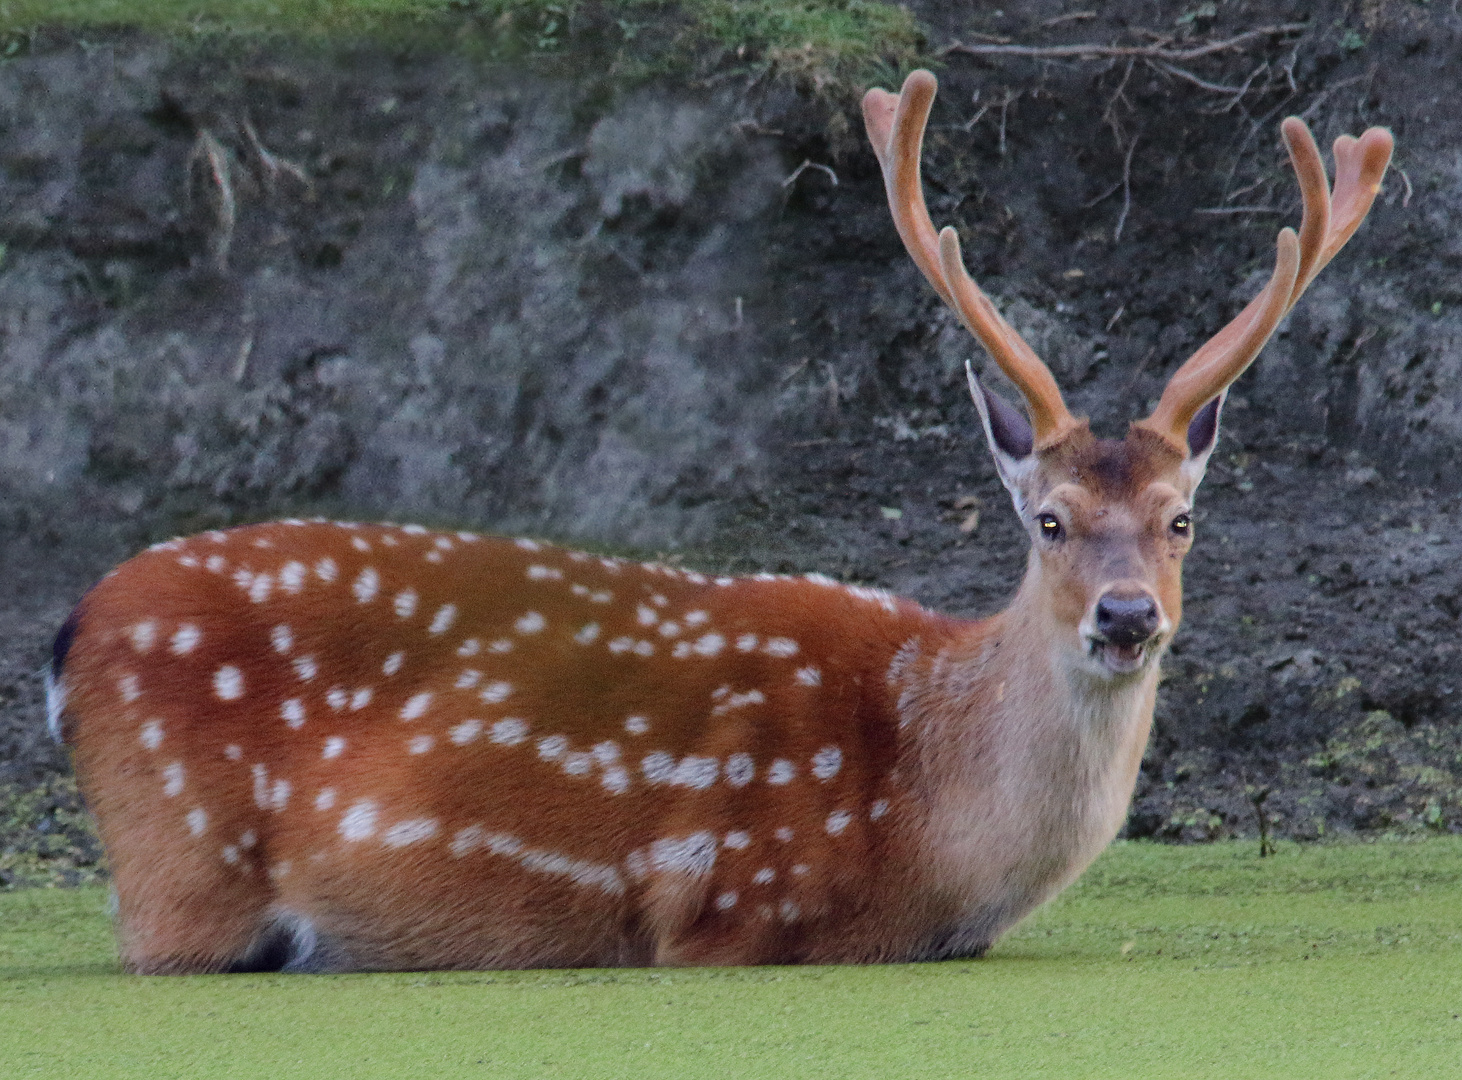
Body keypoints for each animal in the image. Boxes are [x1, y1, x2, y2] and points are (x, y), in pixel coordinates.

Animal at [48, 71, 1391, 976]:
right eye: (1049, 522)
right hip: (181, 874)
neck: (930, 842)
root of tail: (73, 628)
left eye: (1181, 519)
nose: (1124, 617)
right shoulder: (720, 914)